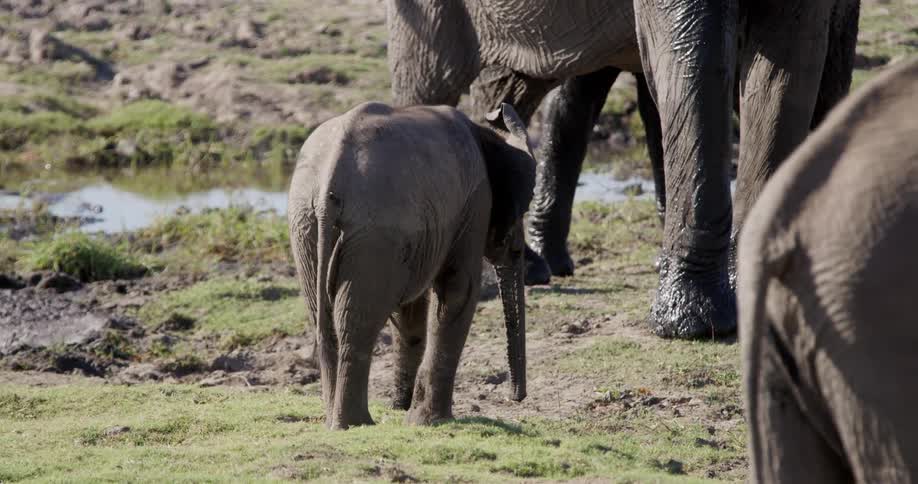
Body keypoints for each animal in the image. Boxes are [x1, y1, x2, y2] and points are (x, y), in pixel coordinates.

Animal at [287, 101, 536, 429]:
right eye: (517, 250)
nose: (515, 398)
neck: (487, 135)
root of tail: (331, 178)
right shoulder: (475, 203)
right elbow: (458, 292)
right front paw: (429, 421)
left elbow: (413, 312)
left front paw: (406, 410)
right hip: (376, 232)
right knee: (354, 319)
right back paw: (356, 424)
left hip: (308, 226)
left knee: (325, 318)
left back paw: (338, 422)